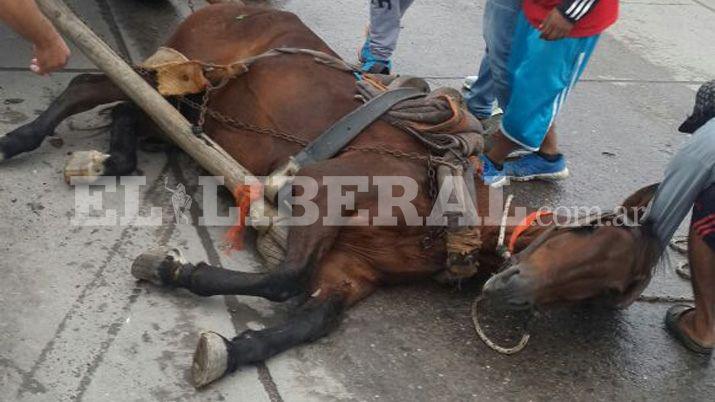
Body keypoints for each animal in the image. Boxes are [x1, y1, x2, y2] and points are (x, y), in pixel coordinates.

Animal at [0, 1, 664, 388]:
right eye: (584, 229)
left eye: (608, 291)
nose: (511, 288)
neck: (452, 206)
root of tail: (229, 5)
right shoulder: (321, 188)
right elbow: (282, 278)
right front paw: (173, 269)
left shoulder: (352, 272)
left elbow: (310, 318)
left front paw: (230, 350)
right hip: (186, 72)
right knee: (94, 83)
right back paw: (22, 139)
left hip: (199, 105)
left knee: (131, 114)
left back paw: (104, 157)